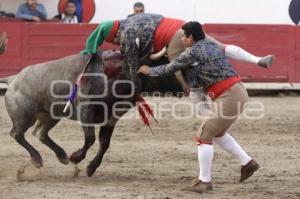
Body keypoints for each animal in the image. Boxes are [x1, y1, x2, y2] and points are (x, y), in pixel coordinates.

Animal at [1, 49, 182, 176]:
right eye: (164, 64)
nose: (182, 85)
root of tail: (13, 79)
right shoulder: (85, 111)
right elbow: (90, 138)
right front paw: (76, 157)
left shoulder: (111, 119)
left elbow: (104, 143)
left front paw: (90, 168)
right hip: (24, 117)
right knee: (17, 134)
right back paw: (38, 159)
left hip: (52, 114)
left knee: (40, 133)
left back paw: (62, 156)